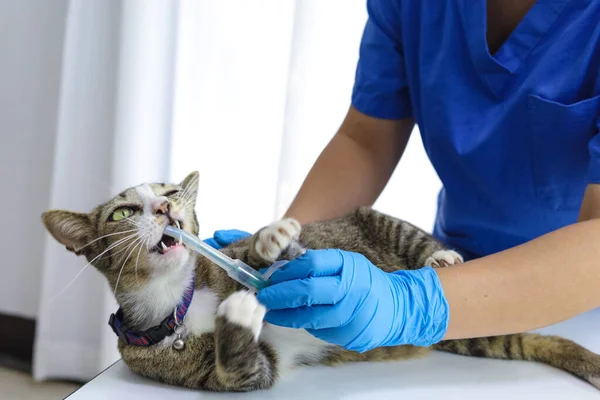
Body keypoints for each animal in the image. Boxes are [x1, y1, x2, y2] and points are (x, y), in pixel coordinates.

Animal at [42, 171, 600, 390]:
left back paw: (441, 262)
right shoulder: (226, 375)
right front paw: (239, 314)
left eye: (171, 191)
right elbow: (243, 367)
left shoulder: (235, 262)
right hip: (468, 336)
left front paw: (271, 239)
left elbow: (272, 255)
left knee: (418, 244)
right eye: (122, 212)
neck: (175, 302)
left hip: (379, 221)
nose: (164, 210)